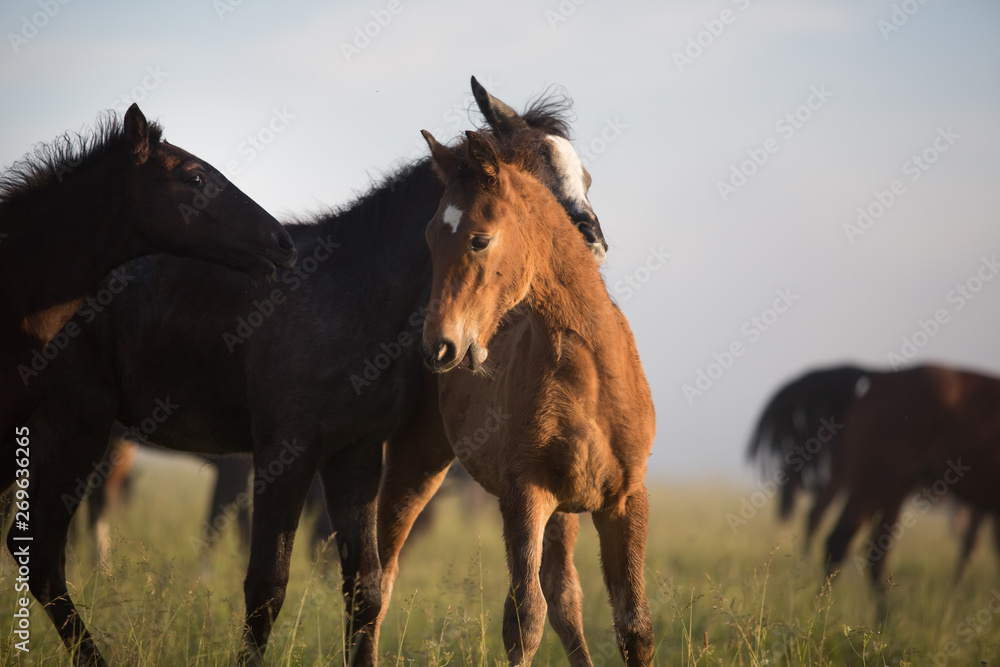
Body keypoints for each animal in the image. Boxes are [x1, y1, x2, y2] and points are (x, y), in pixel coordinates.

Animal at [386, 129, 656, 666]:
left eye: (480, 238)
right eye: (429, 238)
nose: (439, 348)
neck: (593, 380)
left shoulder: (625, 500)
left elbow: (633, 625)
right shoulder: (523, 496)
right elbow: (524, 620)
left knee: (565, 593)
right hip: (416, 464)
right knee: (376, 573)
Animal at [749, 363, 1000, 591]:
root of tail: (874, 377)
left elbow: (971, 543)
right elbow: (973, 544)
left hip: (888, 486)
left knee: (867, 548)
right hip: (872, 481)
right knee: (837, 537)